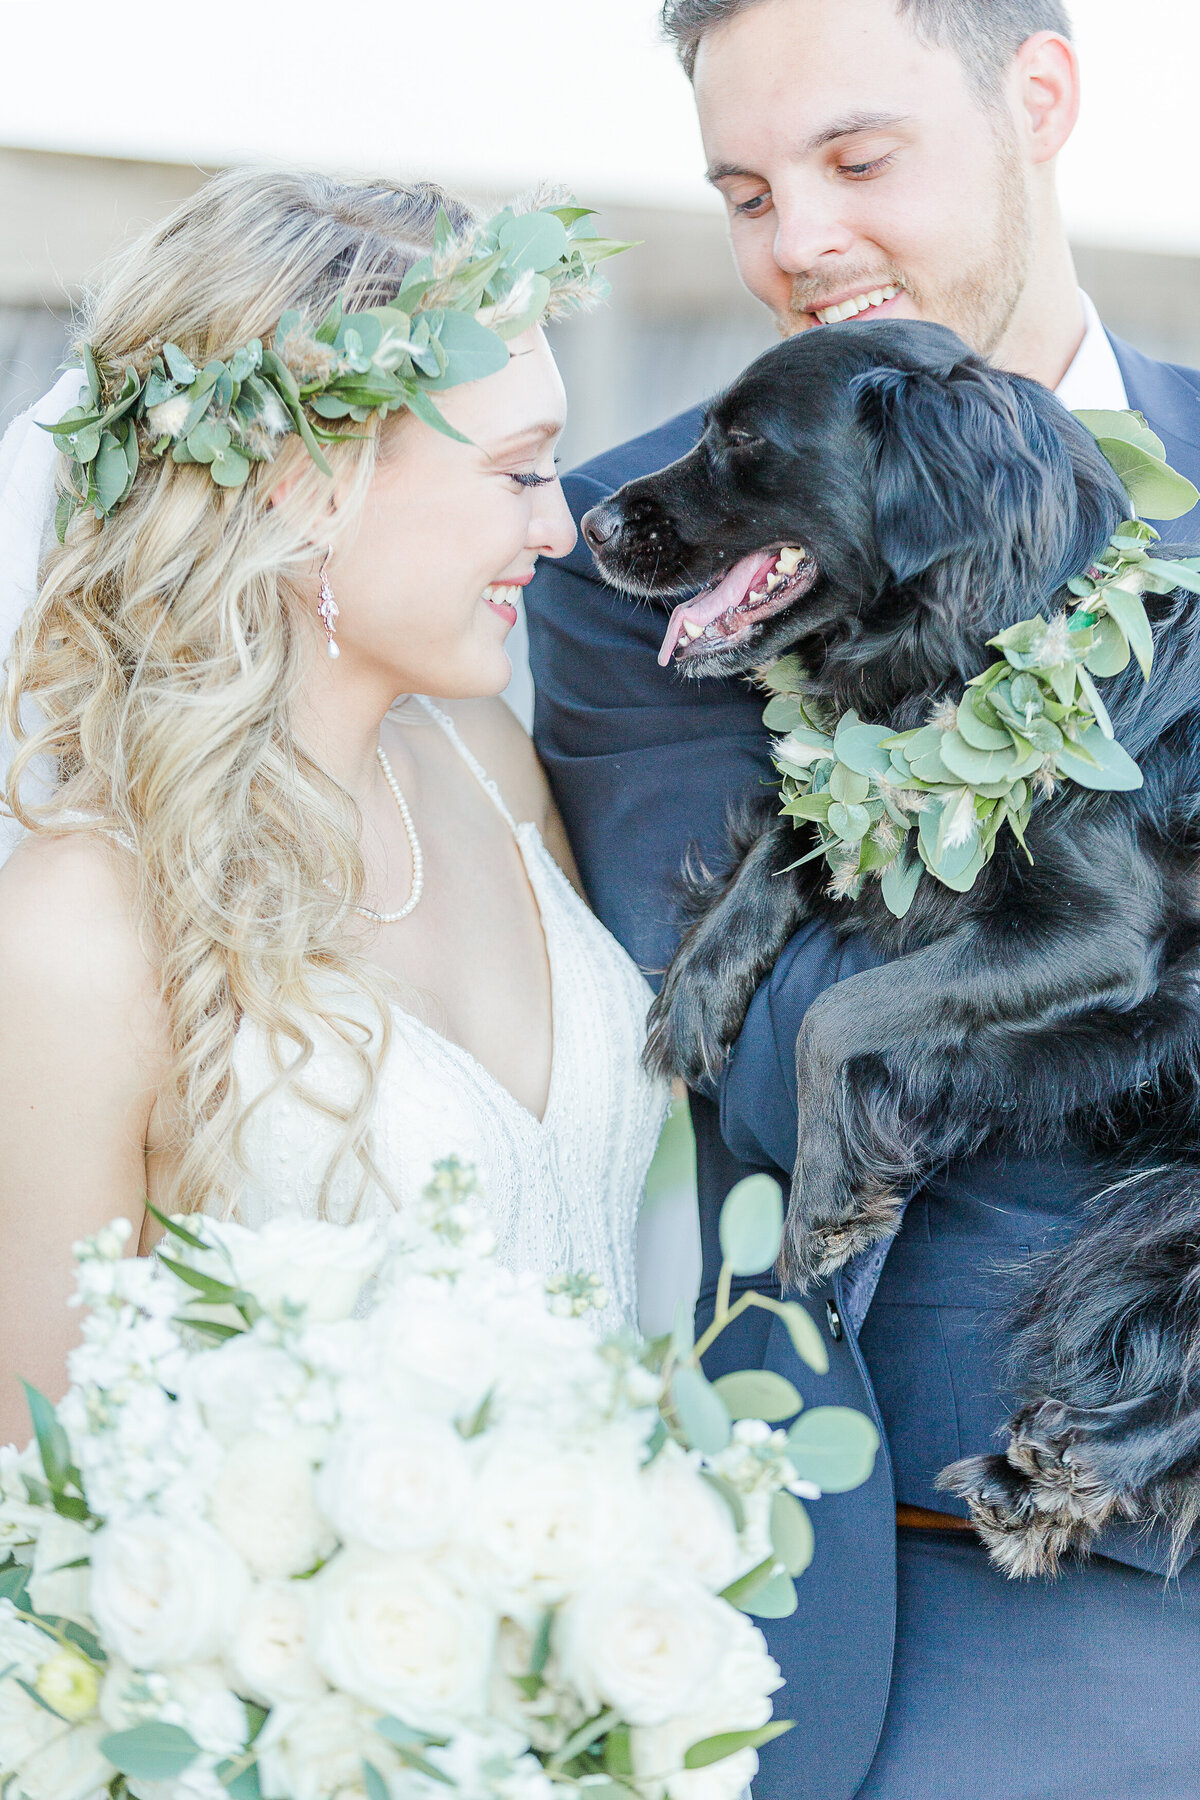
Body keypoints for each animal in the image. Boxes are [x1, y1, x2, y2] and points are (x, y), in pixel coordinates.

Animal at [586, 324, 1200, 1576]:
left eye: (740, 439)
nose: (587, 523)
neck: (1012, 627)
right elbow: (803, 820)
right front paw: (700, 985)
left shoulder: (1109, 939)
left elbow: (841, 1016)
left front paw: (826, 1201)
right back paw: (1041, 1480)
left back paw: (1074, 1472)